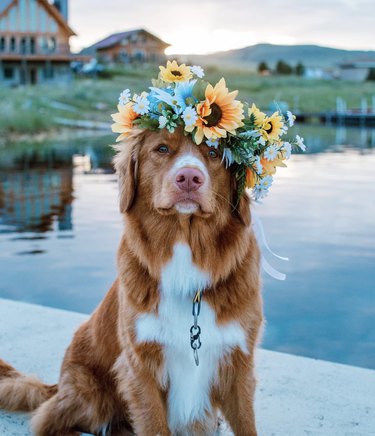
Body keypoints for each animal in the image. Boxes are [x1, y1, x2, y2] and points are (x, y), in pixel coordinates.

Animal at [0, 127, 264, 434]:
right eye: (162, 149)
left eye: (213, 152)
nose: (189, 178)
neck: (185, 251)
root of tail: (57, 384)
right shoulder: (139, 366)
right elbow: (154, 424)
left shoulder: (238, 360)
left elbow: (246, 424)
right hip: (90, 391)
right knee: (49, 420)